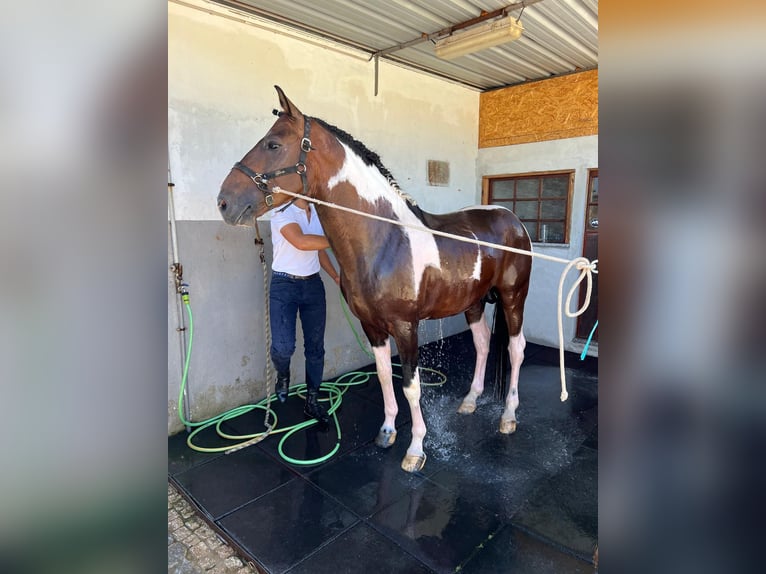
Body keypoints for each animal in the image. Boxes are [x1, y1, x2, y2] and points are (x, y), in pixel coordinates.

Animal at [217, 86, 532, 473]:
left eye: (273, 144)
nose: (224, 203)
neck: (384, 240)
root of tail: (512, 219)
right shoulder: (372, 326)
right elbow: (383, 376)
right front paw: (387, 432)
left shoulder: (406, 326)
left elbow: (411, 386)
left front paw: (416, 449)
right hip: (472, 302)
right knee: (484, 344)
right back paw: (470, 401)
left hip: (513, 297)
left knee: (515, 349)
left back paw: (508, 416)